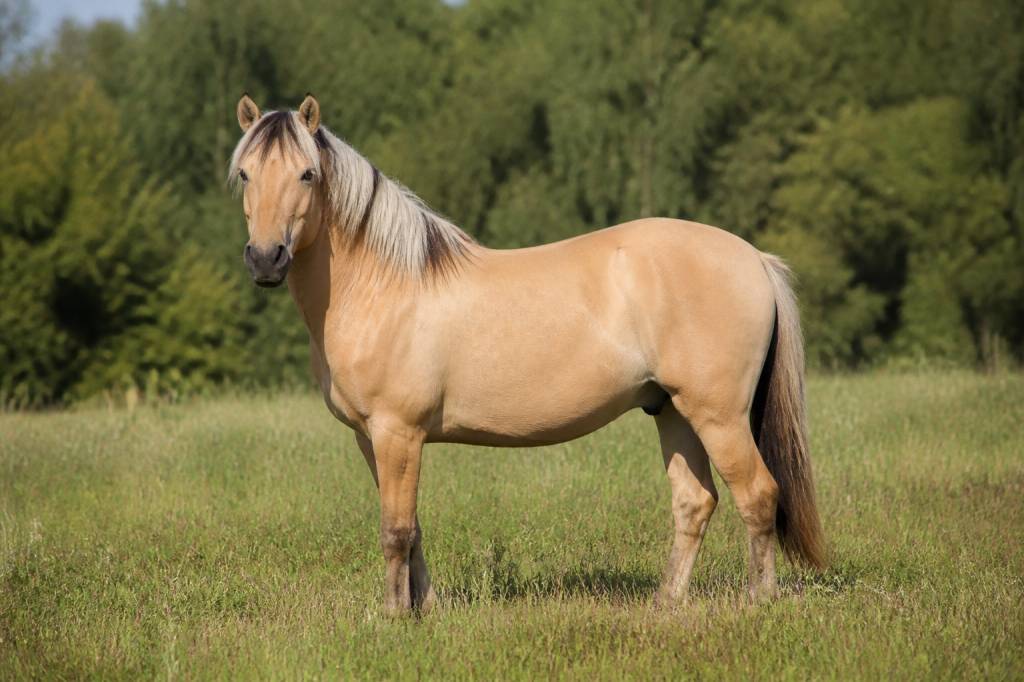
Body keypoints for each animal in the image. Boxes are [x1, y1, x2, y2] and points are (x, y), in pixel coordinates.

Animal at [229, 93, 826, 614]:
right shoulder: (371, 438)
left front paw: (395, 615)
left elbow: (395, 531)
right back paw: (666, 601)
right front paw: (426, 608)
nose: (265, 259)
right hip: (672, 410)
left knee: (758, 495)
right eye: (246, 174)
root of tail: (754, 258)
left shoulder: (397, 432)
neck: (384, 285)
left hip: (719, 416)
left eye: (307, 174)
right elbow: (412, 527)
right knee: (695, 502)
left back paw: (759, 600)